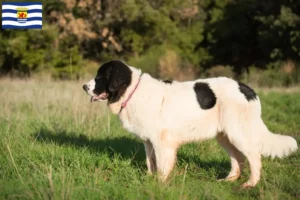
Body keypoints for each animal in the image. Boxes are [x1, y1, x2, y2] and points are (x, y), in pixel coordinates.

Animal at [82, 59, 298, 188]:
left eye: (100, 77)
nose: (84, 86)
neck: (131, 90)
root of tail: (247, 89)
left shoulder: (162, 142)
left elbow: (161, 165)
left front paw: (160, 184)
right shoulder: (148, 141)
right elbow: (150, 162)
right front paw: (150, 180)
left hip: (238, 133)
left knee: (254, 157)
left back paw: (250, 184)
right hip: (225, 136)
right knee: (238, 158)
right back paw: (229, 179)